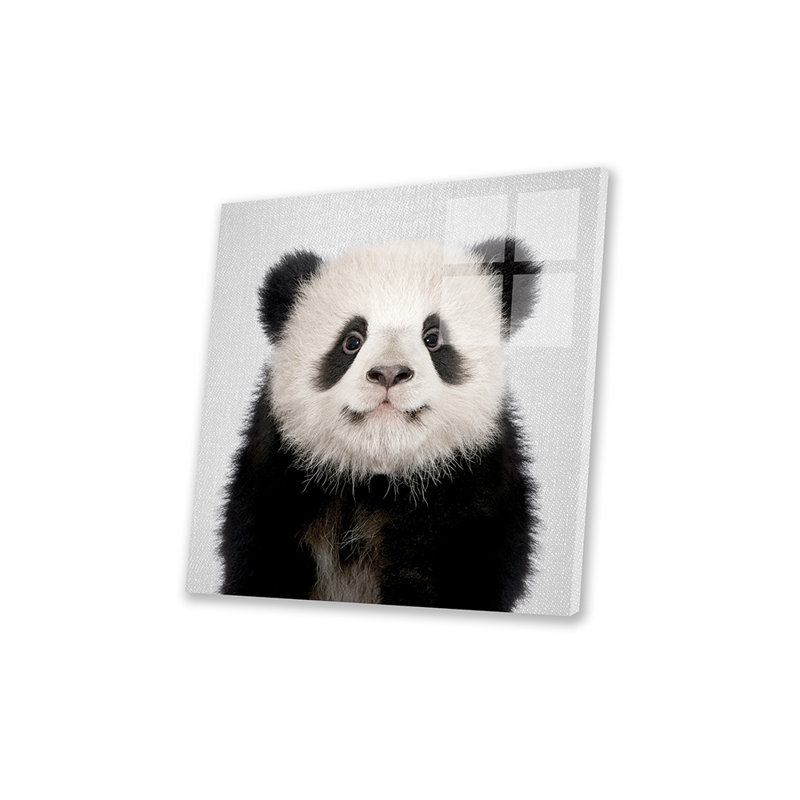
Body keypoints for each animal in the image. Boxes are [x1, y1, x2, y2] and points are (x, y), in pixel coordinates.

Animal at [218, 237, 542, 612]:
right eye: (352, 341)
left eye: (432, 338)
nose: (389, 373)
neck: (376, 479)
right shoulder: (278, 481)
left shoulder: (474, 491)